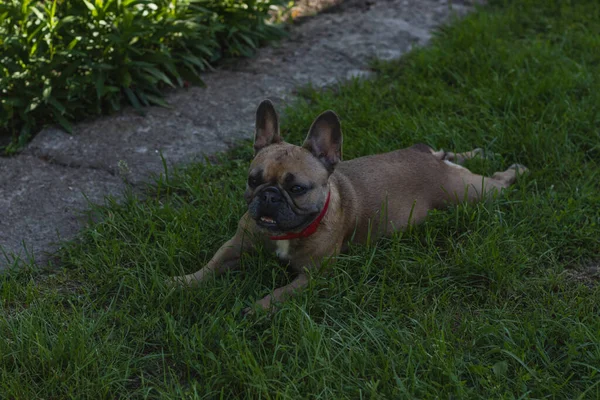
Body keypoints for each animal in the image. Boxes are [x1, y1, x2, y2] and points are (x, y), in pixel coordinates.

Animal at [171, 99, 528, 312]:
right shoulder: (236, 244)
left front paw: (256, 309)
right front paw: (182, 282)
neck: (286, 234)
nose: (269, 196)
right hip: (452, 171)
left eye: (297, 189)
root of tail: (428, 158)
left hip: (468, 194)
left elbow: (279, 294)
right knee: (454, 154)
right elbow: (212, 264)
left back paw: (516, 171)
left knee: (496, 183)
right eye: (253, 180)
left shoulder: (312, 276)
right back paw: (478, 152)